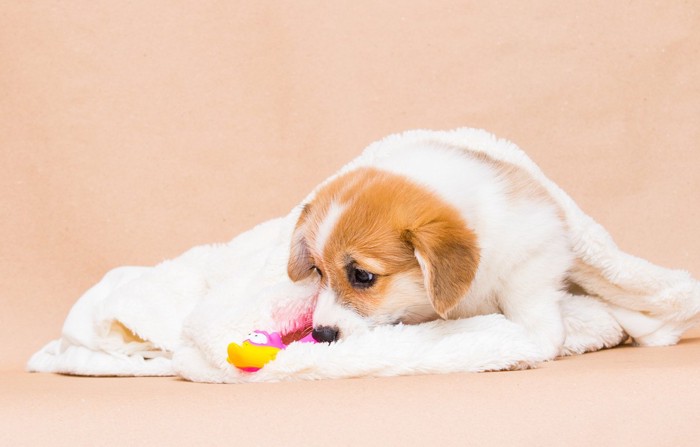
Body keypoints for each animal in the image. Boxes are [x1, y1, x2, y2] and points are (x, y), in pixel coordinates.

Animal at [288, 144, 576, 360]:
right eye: (318, 271)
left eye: (362, 275)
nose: (321, 335)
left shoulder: (539, 239)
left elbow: (524, 289)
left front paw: (536, 338)